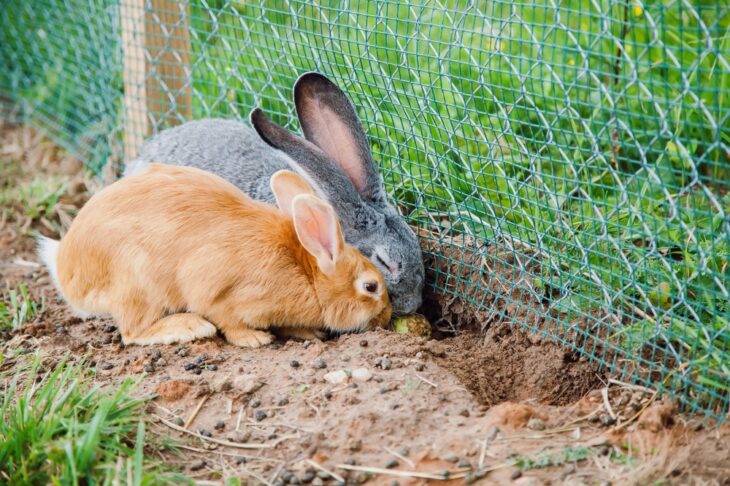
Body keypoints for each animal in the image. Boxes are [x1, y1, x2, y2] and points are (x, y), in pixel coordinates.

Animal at [38, 164, 391, 347]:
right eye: (370, 286)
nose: (388, 316)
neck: (308, 275)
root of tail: (67, 272)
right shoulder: (223, 295)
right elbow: (226, 319)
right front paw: (254, 339)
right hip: (136, 282)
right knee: (133, 332)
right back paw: (189, 327)